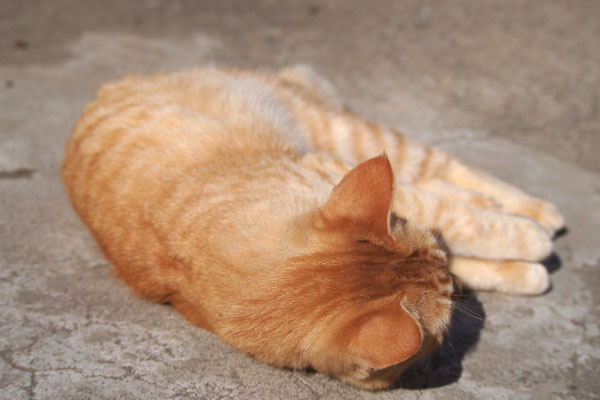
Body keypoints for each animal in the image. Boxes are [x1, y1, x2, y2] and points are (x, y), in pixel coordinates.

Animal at [61, 65, 564, 388]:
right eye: (440, 330)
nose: (456, 288)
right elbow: (462, 230)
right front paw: (522, 265)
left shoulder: (332, 169)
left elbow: (459, 220)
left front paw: (526, 239)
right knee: (444, 180)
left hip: (348, 136)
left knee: (444, 168)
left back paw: (538, 211)